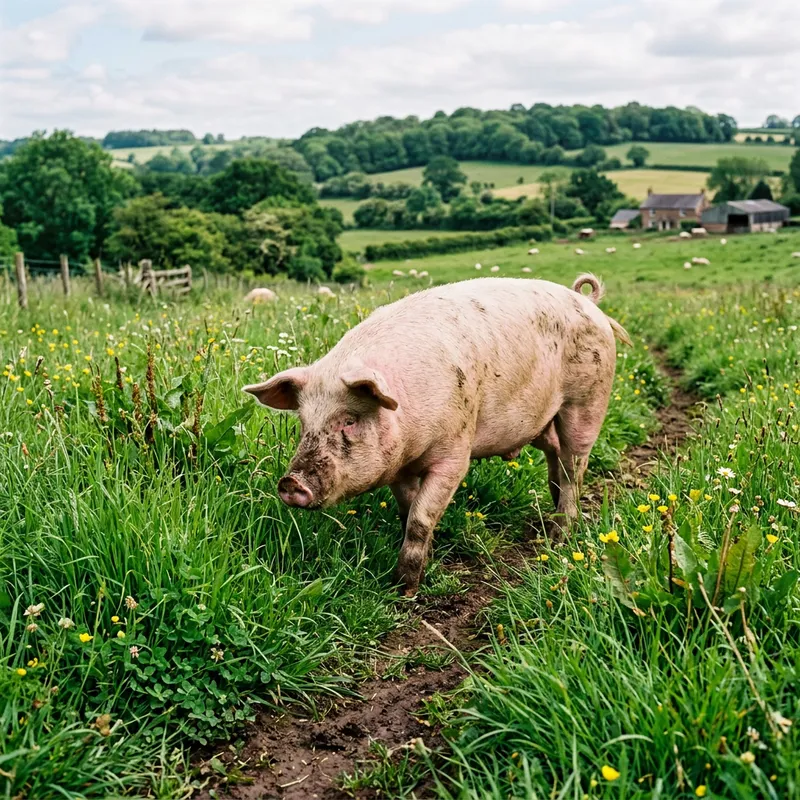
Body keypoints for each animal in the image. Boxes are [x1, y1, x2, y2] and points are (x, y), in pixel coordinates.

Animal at [244, 274, 630, 596]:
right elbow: (407, 510)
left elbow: (420, 518)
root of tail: (589, 303)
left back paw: (558, 535)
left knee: (574, 465)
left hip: (587, 400)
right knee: (553, 451)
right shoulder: (398, 466)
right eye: (303, 421)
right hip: (542, 418)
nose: (291, 482)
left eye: (349, 420)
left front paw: (405, 590)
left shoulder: (454, 452)